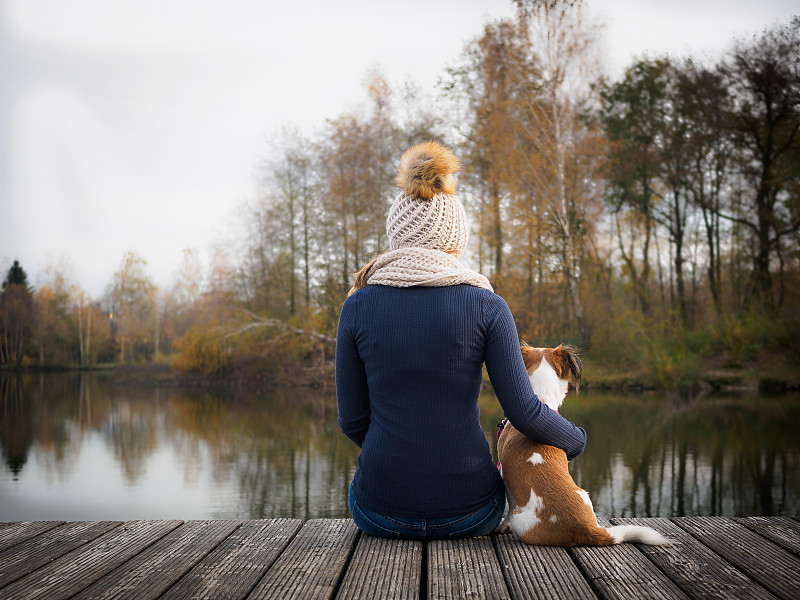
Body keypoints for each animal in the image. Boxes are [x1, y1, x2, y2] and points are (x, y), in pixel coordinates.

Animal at [494, 344, 668, 548]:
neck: (542, 401)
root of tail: (586, 528)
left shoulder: (505, 476)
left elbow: (510, 506)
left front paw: (502, 526)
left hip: (520, 522)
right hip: (585, 495)